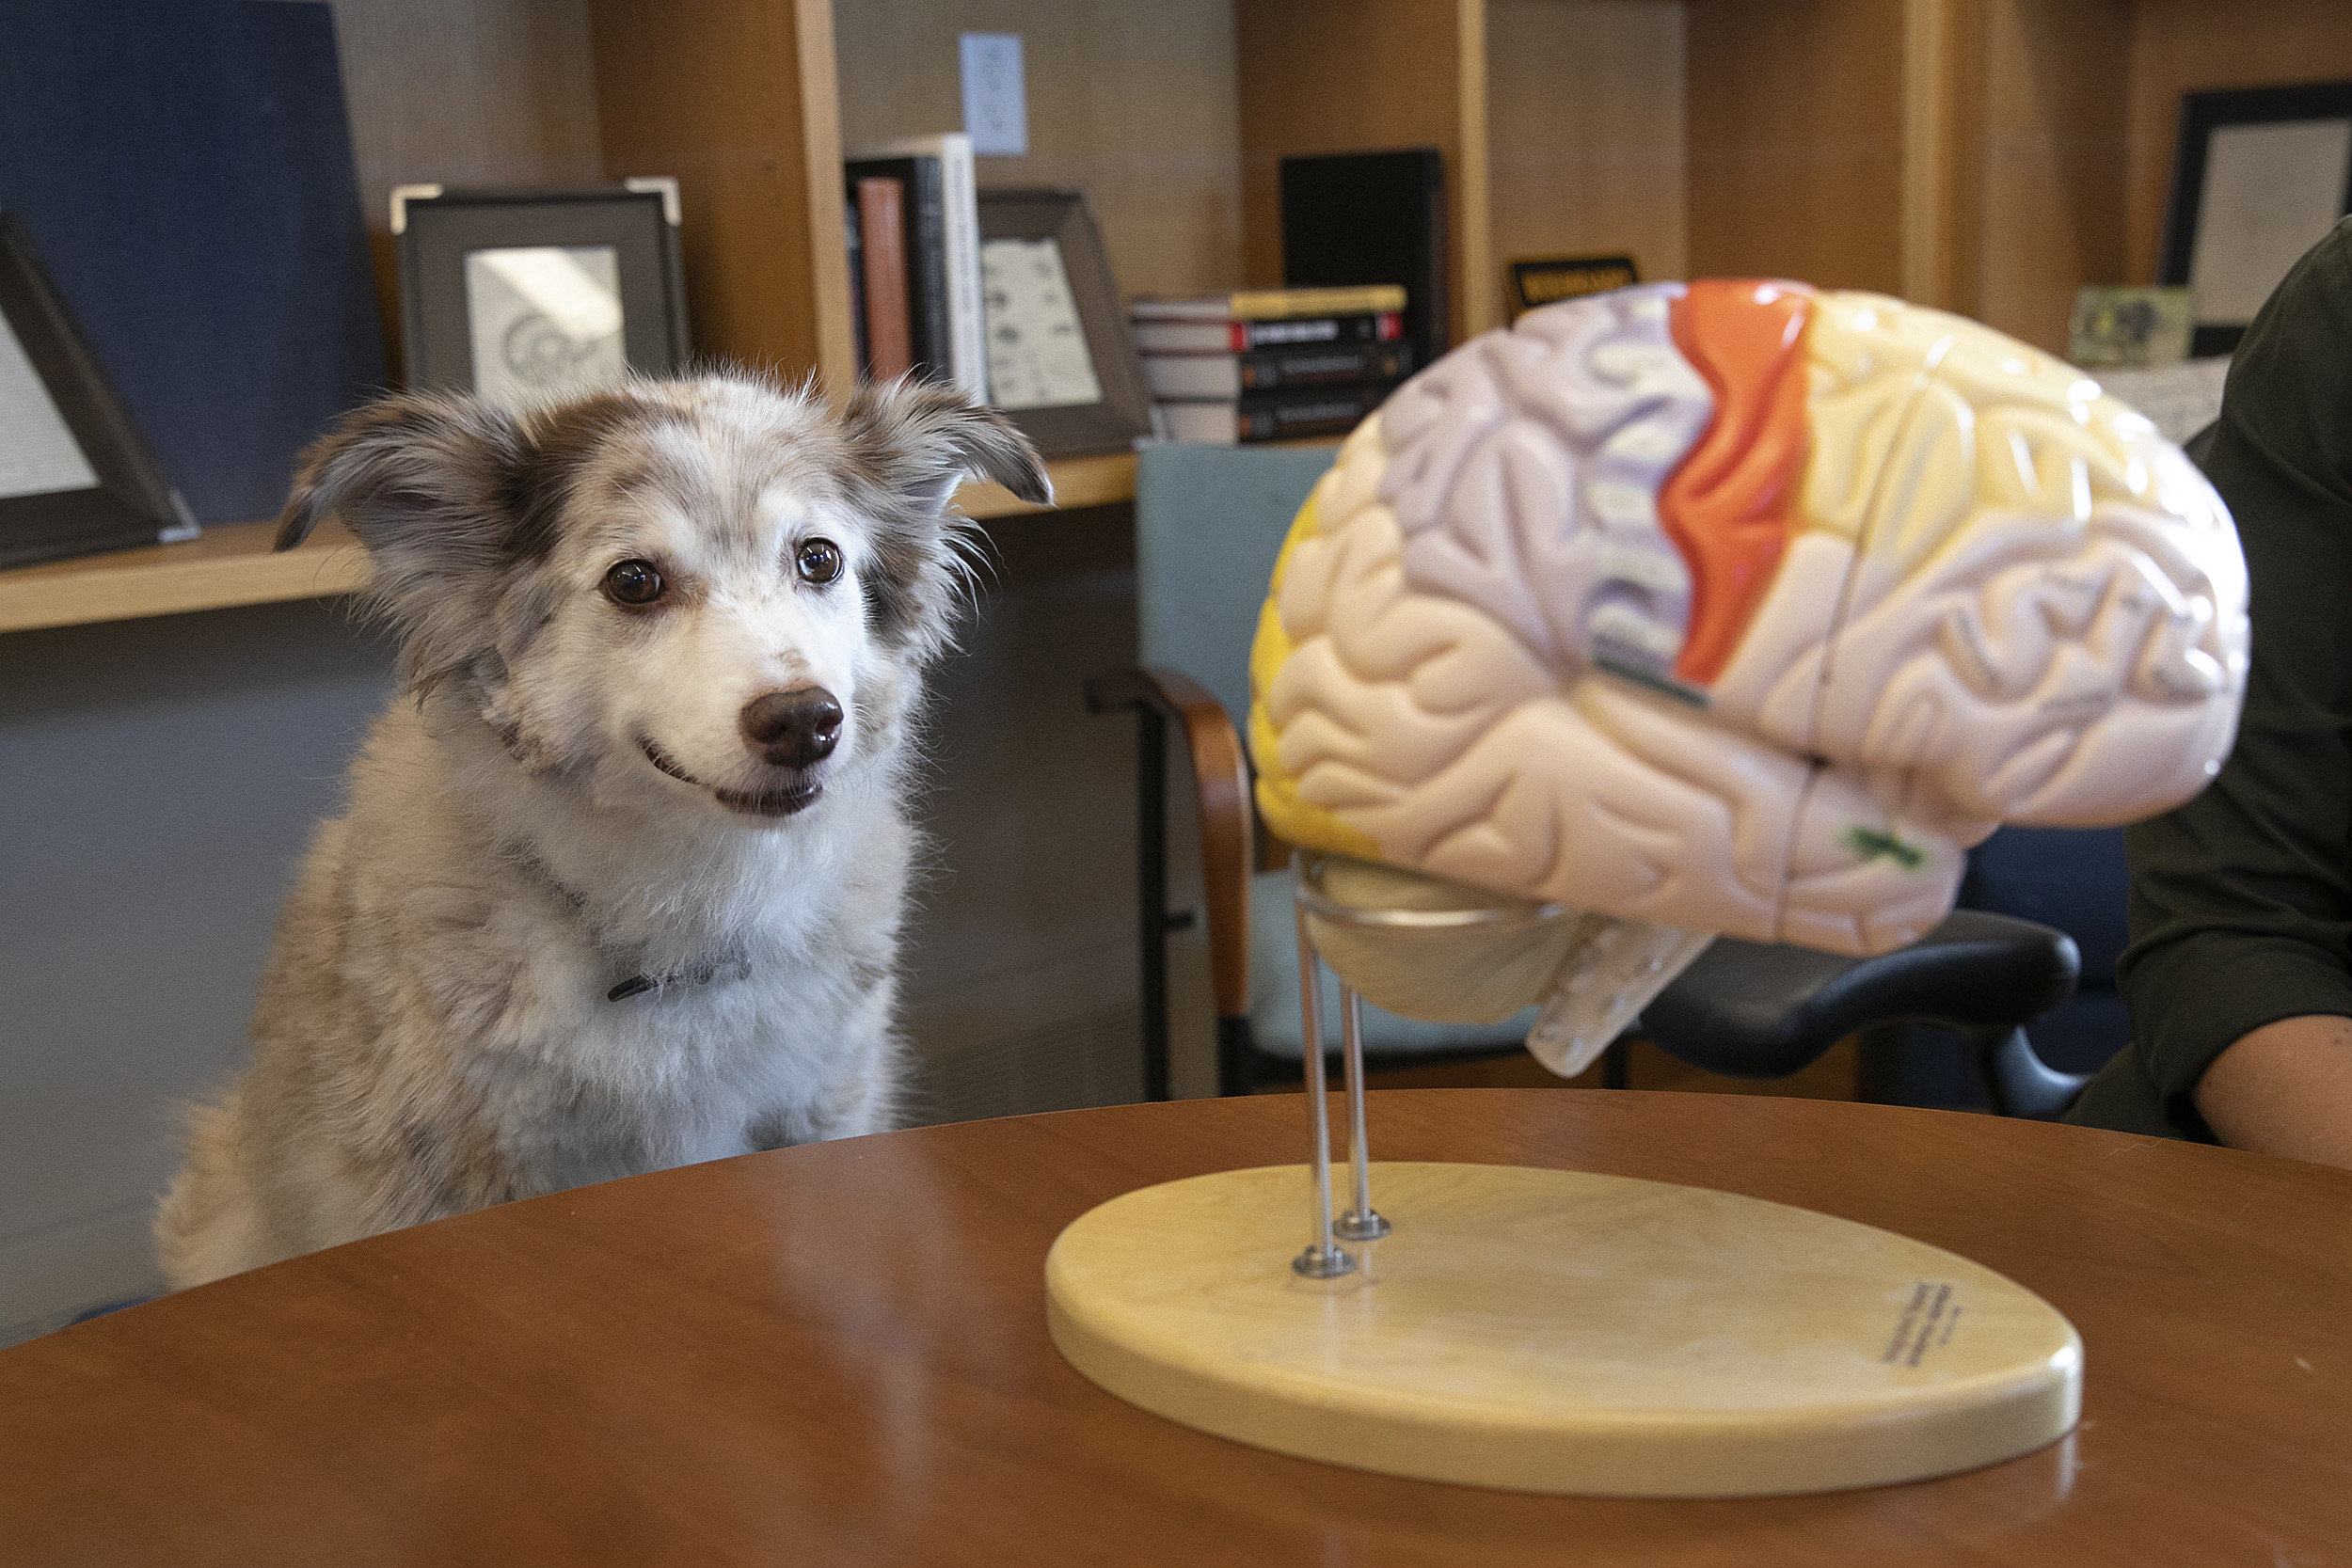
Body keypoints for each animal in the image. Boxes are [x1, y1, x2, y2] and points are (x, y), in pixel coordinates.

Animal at [153, 375, 1049, 1288]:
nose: (806, 722)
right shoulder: (437, 1180)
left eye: (819, 559)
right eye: (635, 580)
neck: (684, 924)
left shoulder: (826, 1108)